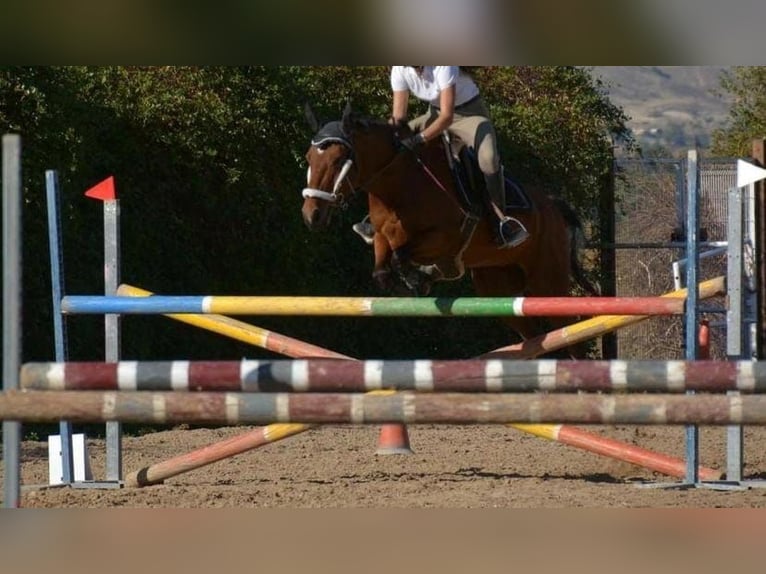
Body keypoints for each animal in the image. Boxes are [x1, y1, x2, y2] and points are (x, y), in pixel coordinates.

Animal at [300, 101, 600, 358]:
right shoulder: (383, 236)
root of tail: (552, 205)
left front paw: (417, 279)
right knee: (535, 338)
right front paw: (417, 279)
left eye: (339, 160)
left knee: (570, 333)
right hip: (496, 284)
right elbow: (382, 269)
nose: (311, 215)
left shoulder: (445, 237)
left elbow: (402, 257)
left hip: (546, 280)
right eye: (308, 158)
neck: (398, 185)